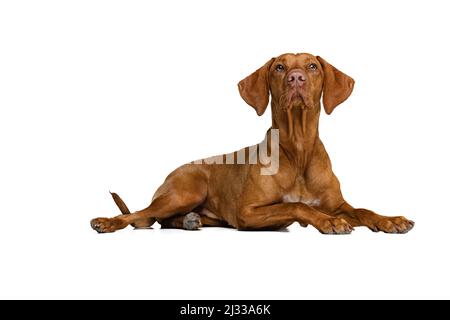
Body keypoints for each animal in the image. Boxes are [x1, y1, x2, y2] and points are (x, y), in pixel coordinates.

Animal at [90, 53, 414, 235]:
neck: (298, 149)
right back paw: (108, 222)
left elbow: (363, 210)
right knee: (141, 215)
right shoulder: (248, 212)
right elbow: (296, 205)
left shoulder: (337, 205)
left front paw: (390, 220)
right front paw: (328, 223)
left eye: (312, 66)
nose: (297, 78)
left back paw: (190, 222)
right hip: (185, 192)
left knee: (164, 220)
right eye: (280, 67)